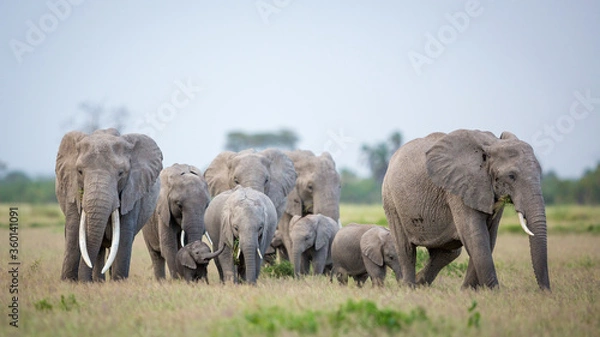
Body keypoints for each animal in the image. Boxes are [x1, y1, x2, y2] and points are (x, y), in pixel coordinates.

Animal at [382, 129, 552, 288]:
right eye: (511, 176)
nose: (546, 292)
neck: (492, 144)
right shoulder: (459, 189)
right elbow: (475, 236)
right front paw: (494, 292)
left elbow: (489, 237)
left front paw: (468, 291)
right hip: (390, 199)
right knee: (406, 249)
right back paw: (409, 287)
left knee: (447, 253)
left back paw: (420, 283)